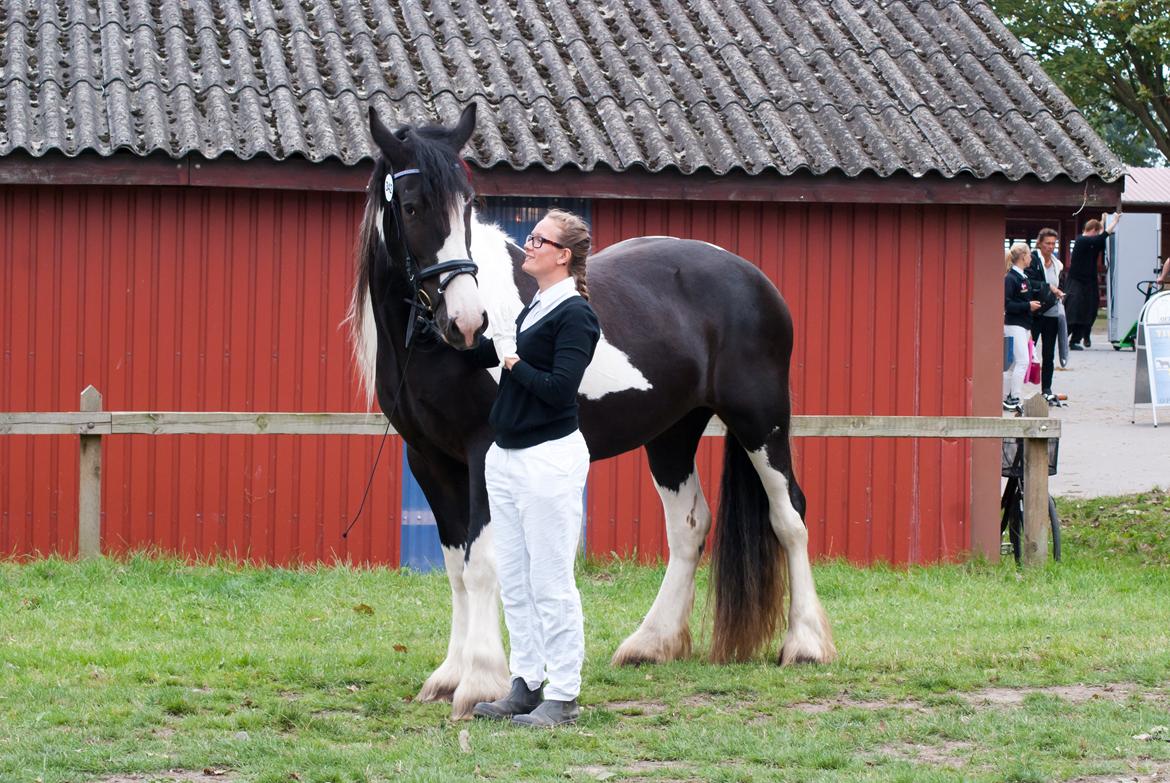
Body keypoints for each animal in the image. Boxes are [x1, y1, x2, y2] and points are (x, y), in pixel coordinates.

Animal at [341, 103, 837, 720]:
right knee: (690, 526)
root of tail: (753, 278)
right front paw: (448, 677)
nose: (469, 323)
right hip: (672, 434)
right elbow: (457, 567)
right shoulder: (429, 459)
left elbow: (483, 566)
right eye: (410, 207)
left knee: (789, 516)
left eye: (469, 206)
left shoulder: (482, 452)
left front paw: (478, 680)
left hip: (760, 419)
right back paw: (651, 643)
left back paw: (805, 644)